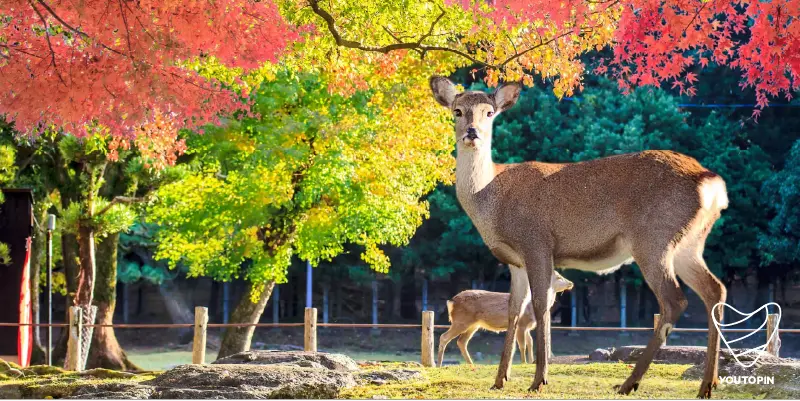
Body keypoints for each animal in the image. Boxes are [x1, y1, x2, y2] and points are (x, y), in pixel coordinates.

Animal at [438, 270, 568, 368]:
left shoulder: (526, 327)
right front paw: (524, 362)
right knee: (444, 337)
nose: (570, 283)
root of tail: (451, 302)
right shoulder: (521, 324)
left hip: (473, 324)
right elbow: (522, 344)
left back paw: (471, 364)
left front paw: (531, 361)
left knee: (462, 341)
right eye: (558, 277)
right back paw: (439, 364)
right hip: (461, 321)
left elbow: (530, 342)